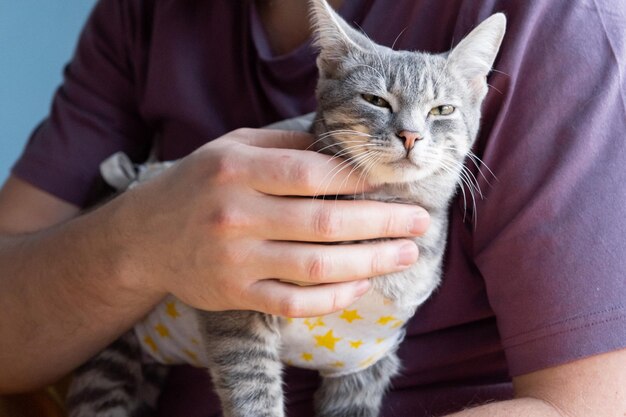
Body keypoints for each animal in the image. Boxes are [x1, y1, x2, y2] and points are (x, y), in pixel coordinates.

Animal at [66, 0, 504, 416]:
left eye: (442, 110)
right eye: (375, 100)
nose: (411, 135)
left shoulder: (364, 362)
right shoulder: (235, 310)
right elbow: (252, 393)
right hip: (107, 362)